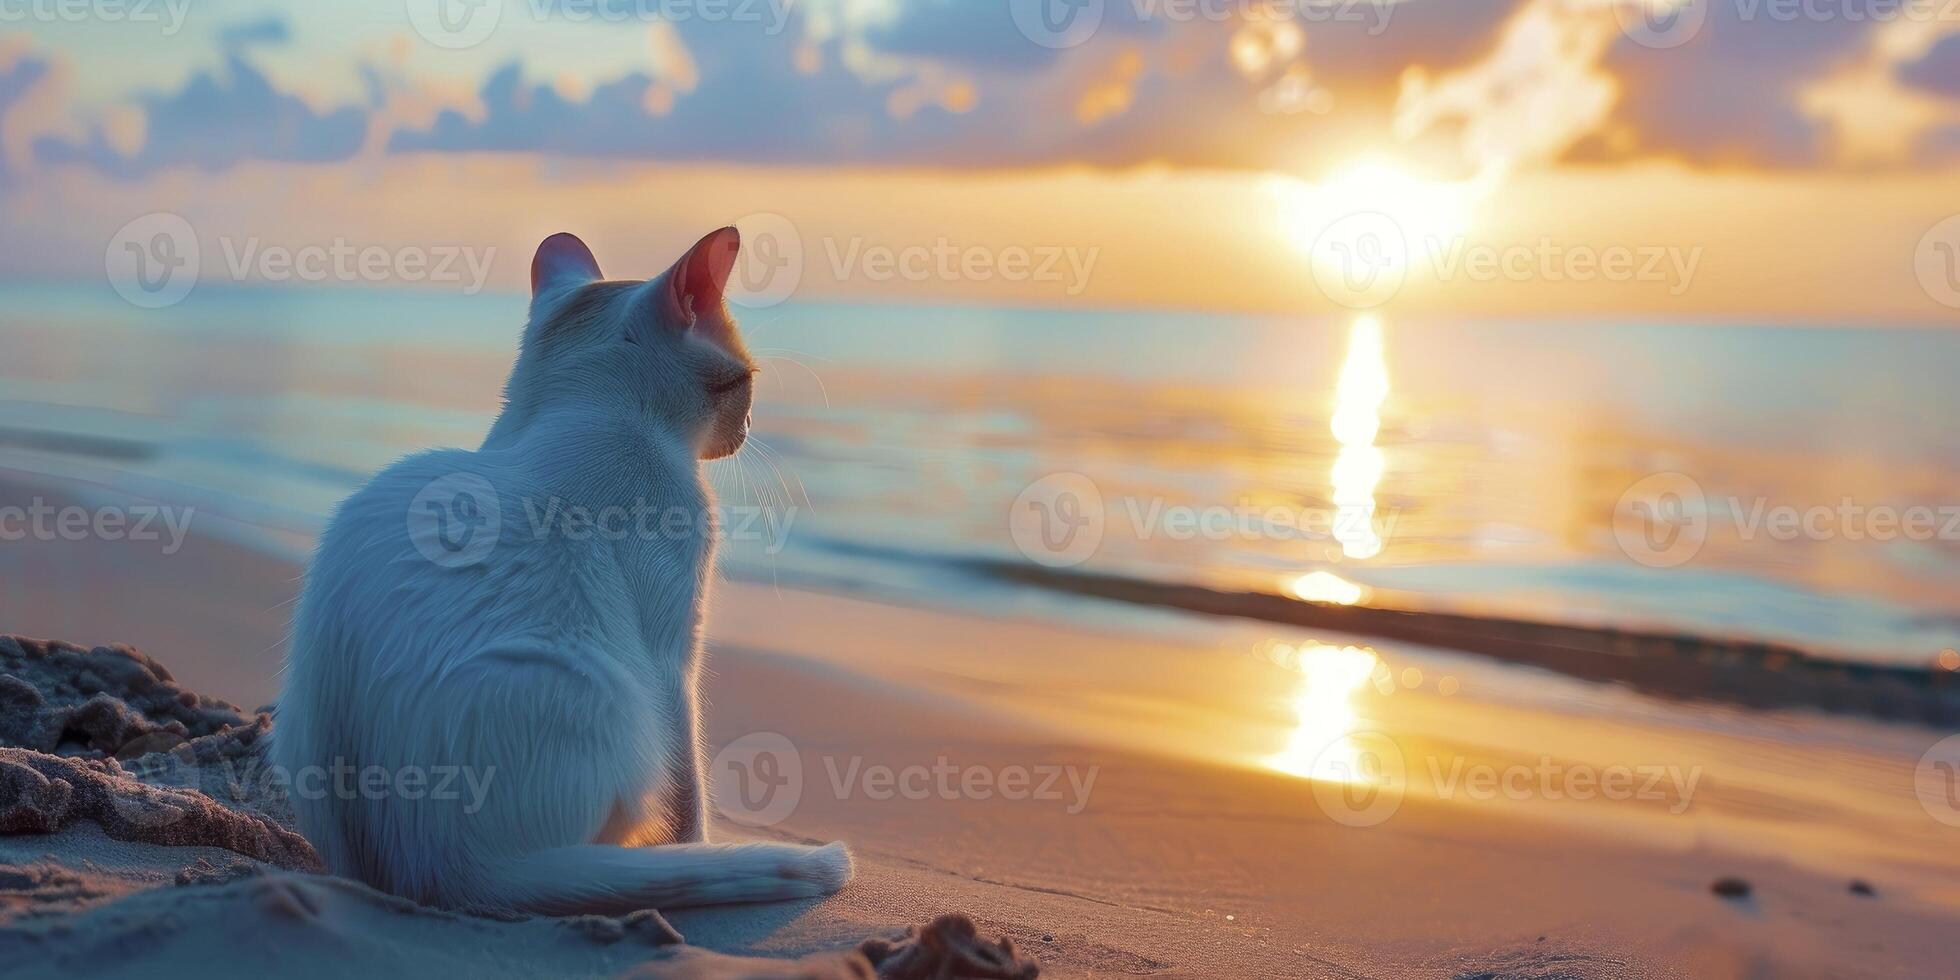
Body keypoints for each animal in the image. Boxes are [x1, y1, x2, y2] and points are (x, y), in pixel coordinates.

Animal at [270, 231, 850, 917]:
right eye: (744, 382)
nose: (748, 427)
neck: (571, 412)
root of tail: (440, 875)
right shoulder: (671, 657)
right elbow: (689, 790)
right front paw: (696, 845)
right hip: (595, 683)